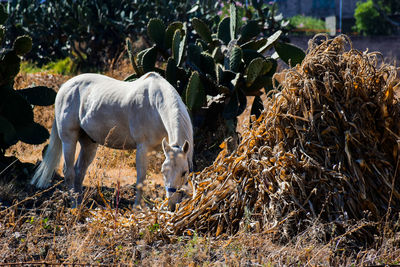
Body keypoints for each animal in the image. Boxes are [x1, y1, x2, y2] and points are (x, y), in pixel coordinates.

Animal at [31, 72, 194, 208]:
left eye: (184, 172)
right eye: (163, 171)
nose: (171, 204)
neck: (155, 107)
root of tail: (64, 87)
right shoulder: (143, 149)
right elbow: (140, 180)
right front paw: (138, 208)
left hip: (89, 144)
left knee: (79, 171)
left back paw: (80, 202)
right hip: (68, 140)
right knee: (69, 171)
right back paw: (74, 205)